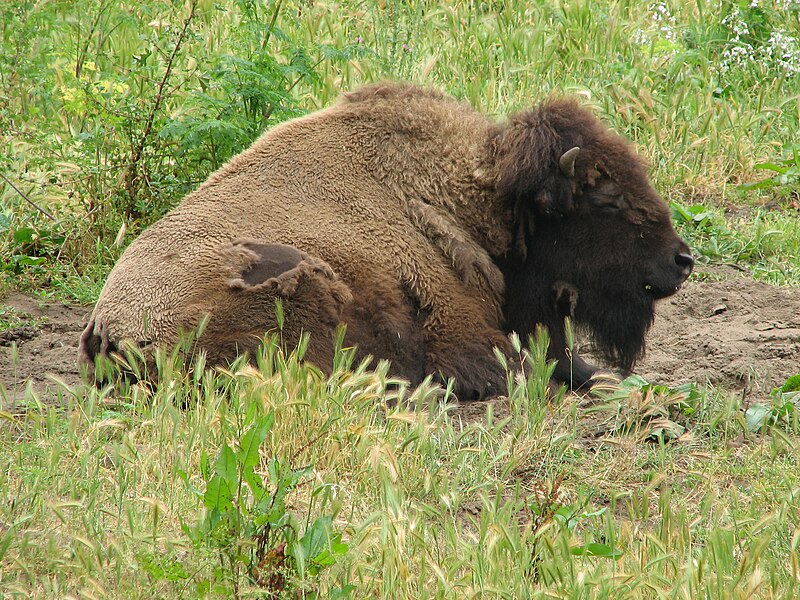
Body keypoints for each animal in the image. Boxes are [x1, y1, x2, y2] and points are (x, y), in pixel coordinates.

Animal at [83, 81, 692, 398]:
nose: (682, 260)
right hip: (301, 279)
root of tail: (115, 328)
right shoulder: (465, 333)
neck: (473, 197)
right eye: (607, 199)